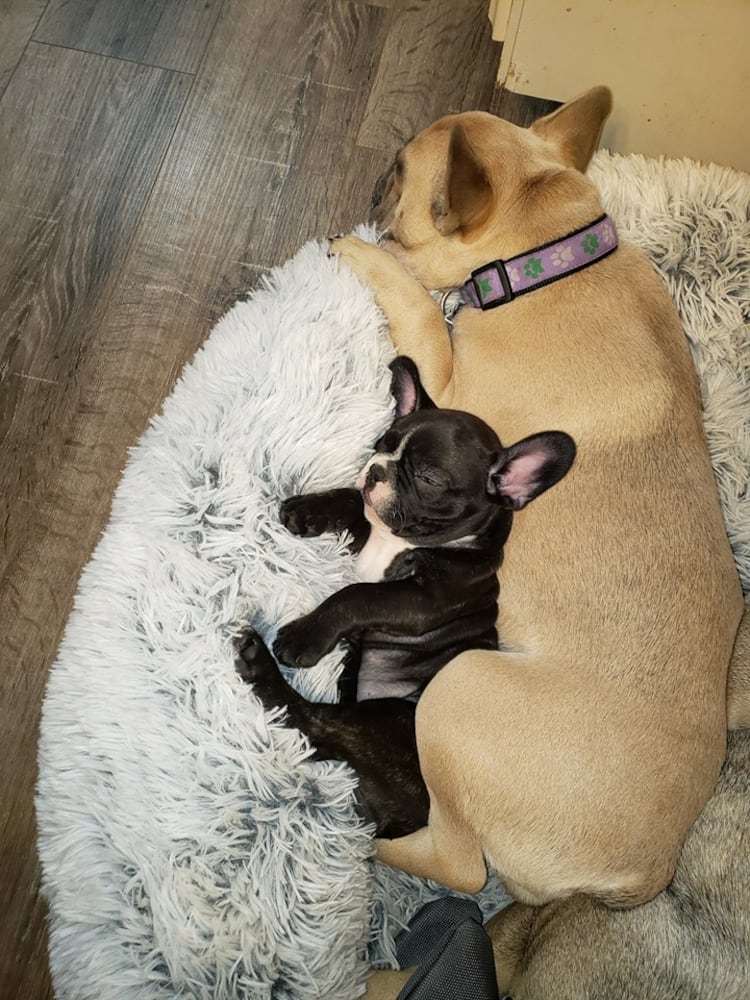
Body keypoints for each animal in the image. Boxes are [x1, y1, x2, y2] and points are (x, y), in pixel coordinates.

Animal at [238, 358, 580, 836]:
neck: (400, 540)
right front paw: (308, 508)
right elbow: (351, 502)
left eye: (428, 477)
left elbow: (355, 595)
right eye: (381, 445)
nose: (376, 469)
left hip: (386, 720)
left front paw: (304, 636)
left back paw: (260, 665)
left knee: (311, 721)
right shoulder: (368, 530)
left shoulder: (420, 600)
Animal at [332, 90, 744, 912]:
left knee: (460, 863)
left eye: (400, 170)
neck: (546, 259)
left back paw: (372, 845)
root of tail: (648, 871)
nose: (374, 189)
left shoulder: (447, 384)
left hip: (458, 689)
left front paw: (369, 256)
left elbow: (417, 309)